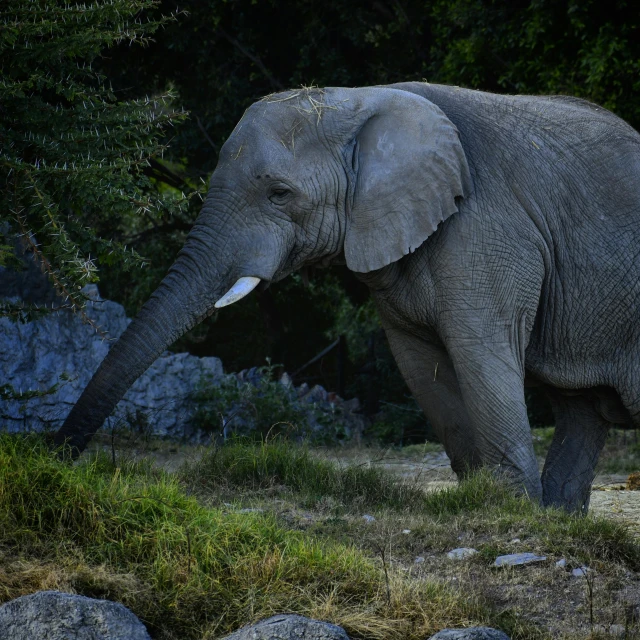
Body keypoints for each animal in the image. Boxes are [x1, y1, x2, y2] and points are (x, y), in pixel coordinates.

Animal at [53, 82, 640, 512]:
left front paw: (510, 513)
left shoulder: (487, 229)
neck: (358, 100)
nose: (53, 458)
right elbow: (422, 369)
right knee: (581, 411)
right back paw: (563, 517)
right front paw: (487, 503)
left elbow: (481, 352)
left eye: (279, 194)